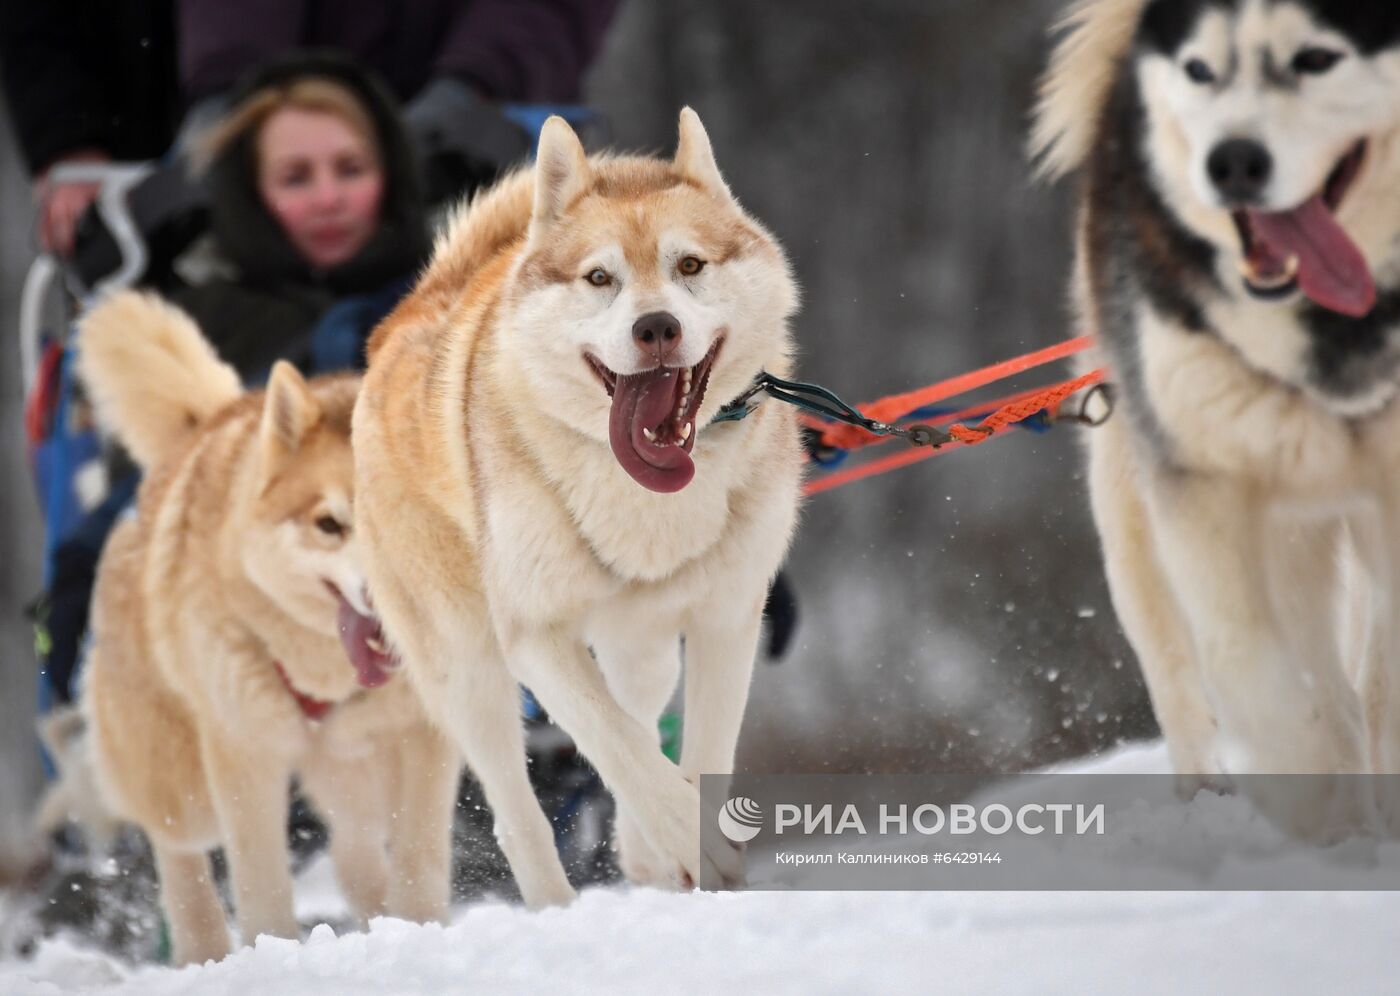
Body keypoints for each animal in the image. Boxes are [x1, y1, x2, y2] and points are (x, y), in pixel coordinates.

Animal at [75, 294, 459, 963]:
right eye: (329, 523)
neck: (326, 673)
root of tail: (205, 423)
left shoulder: (425, 735)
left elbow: (418, 849)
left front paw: (416, 926)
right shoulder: (245, 758)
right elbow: (261, 885)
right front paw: (271, 950)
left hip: (355, 773)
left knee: (354, 853)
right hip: (185, 787)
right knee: (180, 859)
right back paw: (203, 951)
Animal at [355, 111, 806, 902]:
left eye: (691, 266)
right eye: (600, 277)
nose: (655, 327)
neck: (647, 497)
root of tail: (407, 311)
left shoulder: (727, 617)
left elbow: (690, 755)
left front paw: (695, 856)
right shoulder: (536, 636)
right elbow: (617, 747)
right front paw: (694, 844)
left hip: (642, 645)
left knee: (639, 715)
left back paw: (647, 857)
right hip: (471, 675)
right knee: (522, 816)